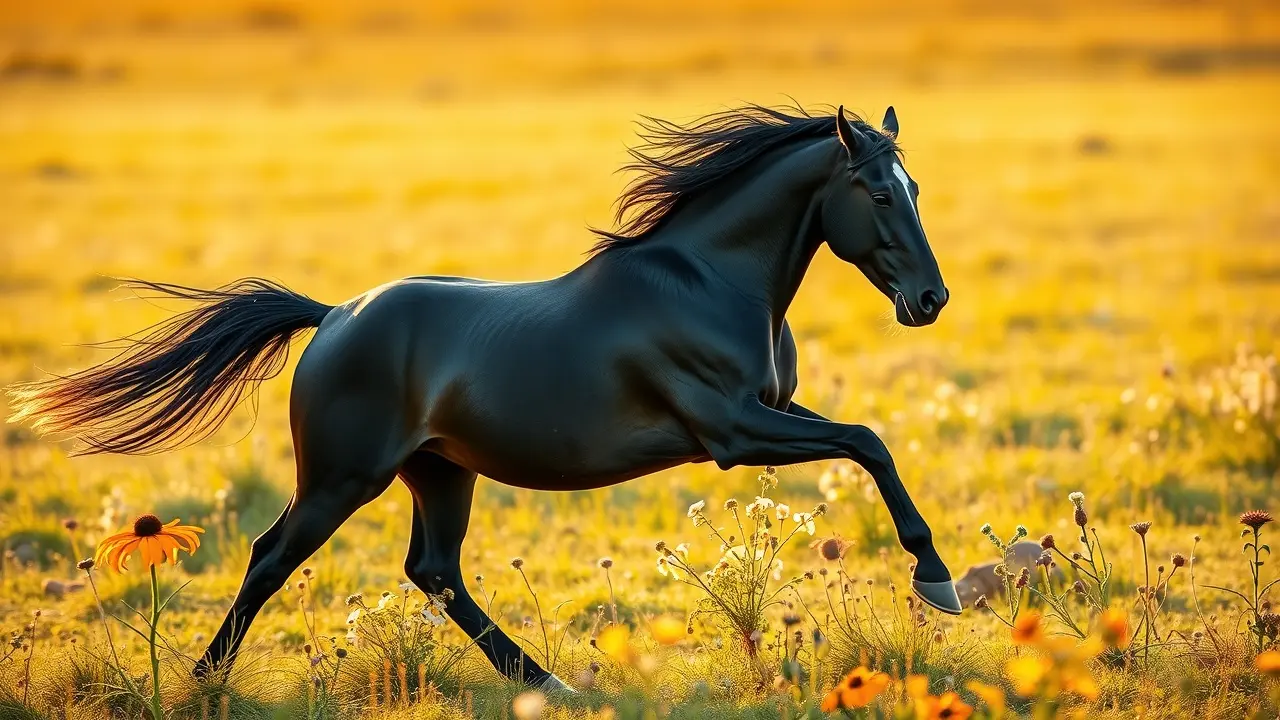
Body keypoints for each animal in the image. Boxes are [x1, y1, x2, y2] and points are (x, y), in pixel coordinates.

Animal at [6, 103, 957, 691]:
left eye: (918, 189)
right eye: (878, 192)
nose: (931, 300)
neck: (708, 281)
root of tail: (333, 317)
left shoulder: (773, 413)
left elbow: (869, 442)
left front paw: (937, 580)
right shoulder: (732, 431)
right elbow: (868, 440)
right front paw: (939, 580)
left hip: (440, 472)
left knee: (434, 571)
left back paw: (549, 680)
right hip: (343, 479)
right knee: (272, 557)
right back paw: (204, 683)